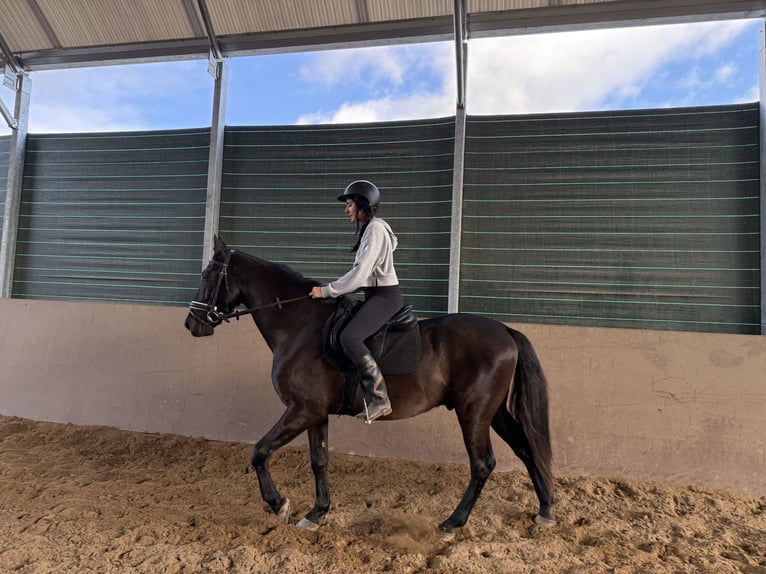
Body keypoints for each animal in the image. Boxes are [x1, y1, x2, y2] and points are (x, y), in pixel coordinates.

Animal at [184, 236, 555, 534]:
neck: (299, 326)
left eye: (207, 276)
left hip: (473, 412)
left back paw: (453, 523)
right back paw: (546, 510)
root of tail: (504, 330)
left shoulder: (301, 410)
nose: (192, 323)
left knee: (483, 464)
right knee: (526, 449)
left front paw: (279, 504)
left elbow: (260, 451)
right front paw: (316, 513)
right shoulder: (315, 413)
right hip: (493, 411)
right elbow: (319, 461)